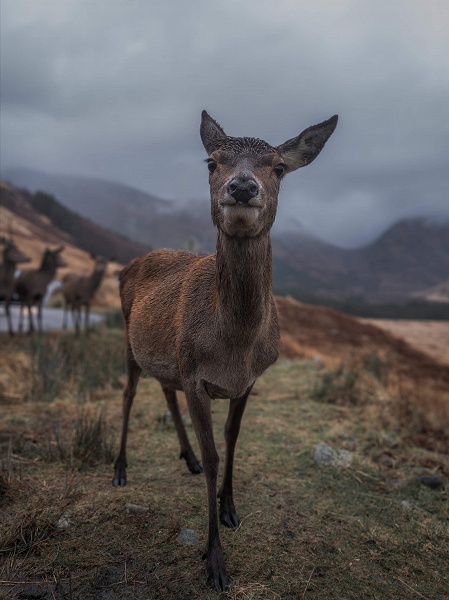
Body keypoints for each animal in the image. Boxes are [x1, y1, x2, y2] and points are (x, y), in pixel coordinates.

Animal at [112, 109, 336, 592]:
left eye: (279, 167)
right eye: (212, 162)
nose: (243, 186)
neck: (234, 346)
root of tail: (129, 265)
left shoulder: (247, 380)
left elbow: (232, 438)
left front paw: (230, 507)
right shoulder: (196, 376)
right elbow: (216, 454)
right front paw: (215, 562)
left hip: (167, 355)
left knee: (164, 389)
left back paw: (188, 458)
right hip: (129, 339)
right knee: (129, 393)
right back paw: (120, 468)